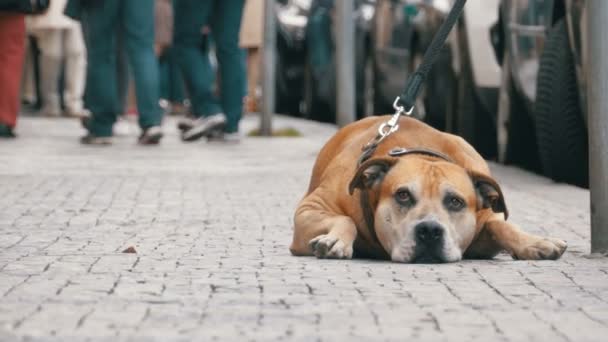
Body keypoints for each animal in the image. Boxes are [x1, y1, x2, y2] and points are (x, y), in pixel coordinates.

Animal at [290, 116, 564, 264]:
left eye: (455, 202)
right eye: (402, 195)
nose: (430, 230)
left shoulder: (485, 223)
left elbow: (501, 225)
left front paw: (535, 242)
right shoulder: (309, 210)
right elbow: (345, 219)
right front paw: (335, 240)